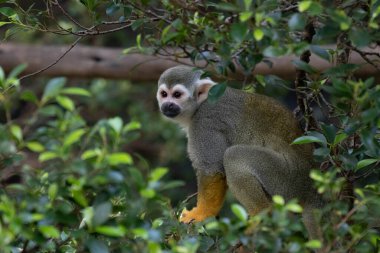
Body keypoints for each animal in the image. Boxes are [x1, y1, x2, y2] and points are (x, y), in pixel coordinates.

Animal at [156, 65, 322, 239]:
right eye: (164, 94)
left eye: (177, 95)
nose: (167, 105)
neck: (199, 105)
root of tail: (311, 186)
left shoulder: (204, 122)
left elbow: (212, 170)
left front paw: (201, 214)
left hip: (288, 177)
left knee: (233, 156)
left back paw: (261, 216)